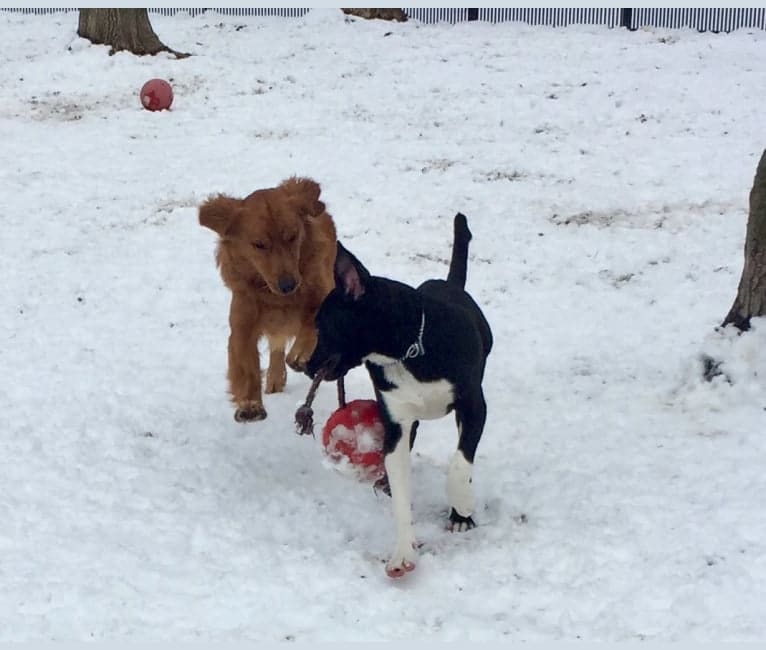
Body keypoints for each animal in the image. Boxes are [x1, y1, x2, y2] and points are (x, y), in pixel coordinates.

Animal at [200, 177, 338, 420]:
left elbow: (311, 320)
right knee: (276, 346)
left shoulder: (323, 293)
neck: (274, 296)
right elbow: (245, 363)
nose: (288, 285)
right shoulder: (242, 324)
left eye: (292, 236)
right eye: (259, 244)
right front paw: (250, 404)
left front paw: (301, 351)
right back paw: (275, 376)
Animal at [306, 213, 492, 576]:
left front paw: (462, 505)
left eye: (322, 326)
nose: (304, 366)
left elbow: (459, 465)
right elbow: (400, 487)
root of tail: (450, 284)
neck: (408, 352)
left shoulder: (474, 405)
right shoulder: (395, 423)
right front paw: (403, 553)